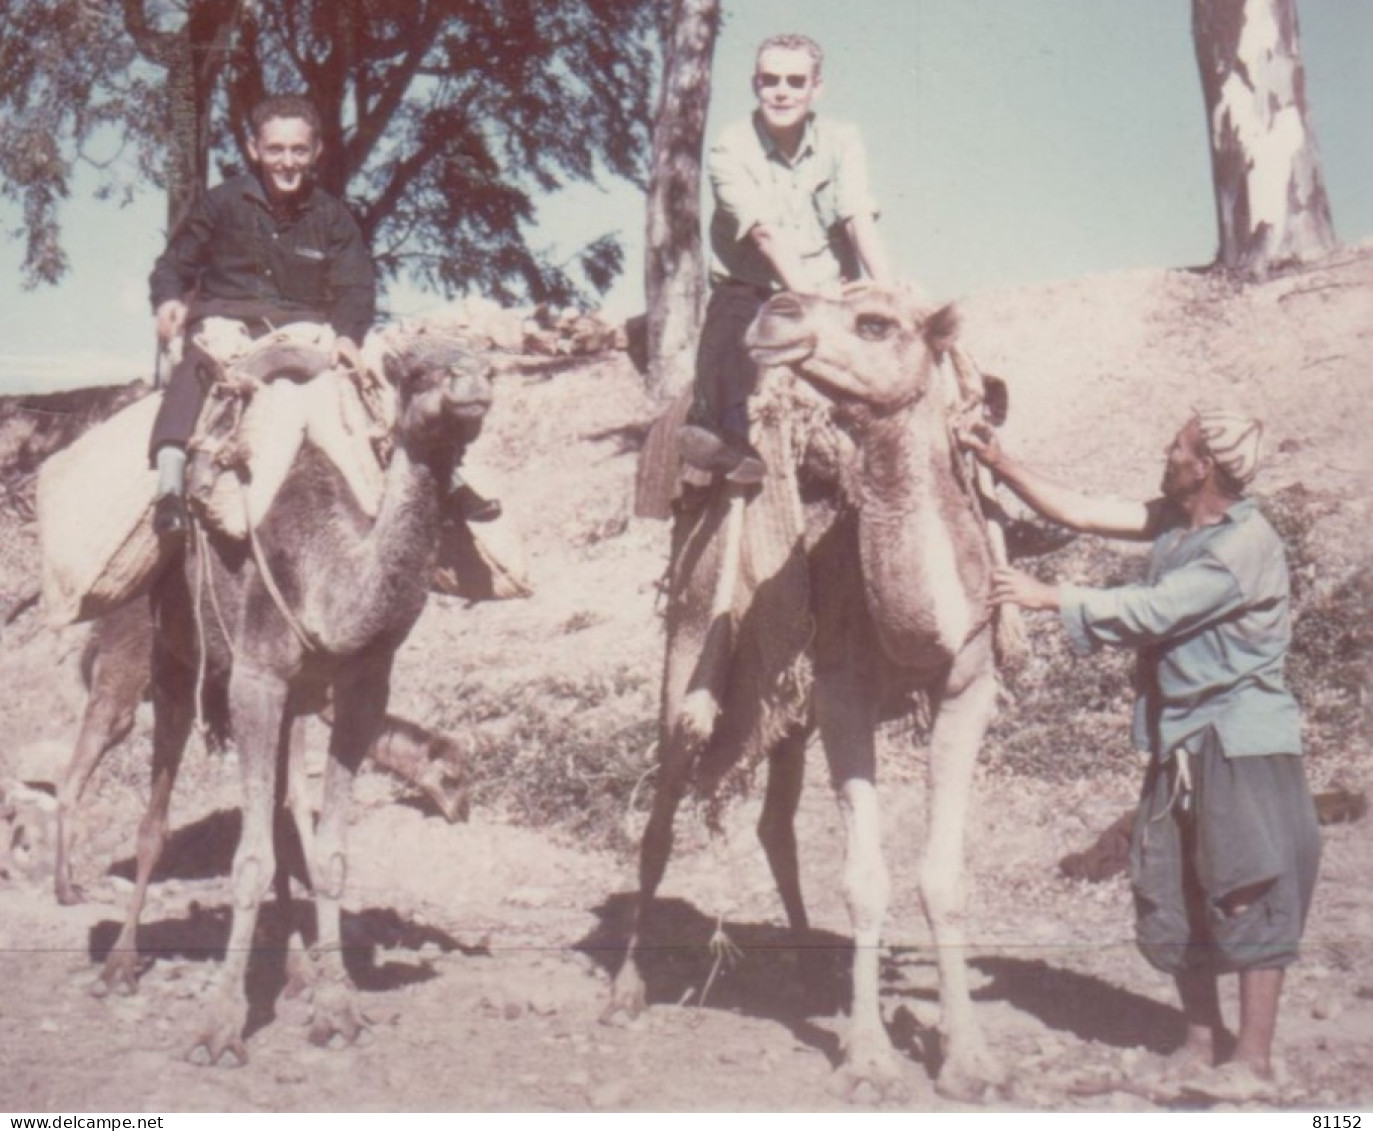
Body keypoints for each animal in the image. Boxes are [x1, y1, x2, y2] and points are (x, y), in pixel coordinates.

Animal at [52, 601, 472, 911]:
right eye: (451, 777)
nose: (461, 813)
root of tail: (99, 630)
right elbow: (298, 795)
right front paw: (313, 876)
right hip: (123, 682)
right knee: (74, 773)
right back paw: (68, 891)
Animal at [104, 330, 494, 1065]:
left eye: (493, 364)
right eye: (416, 370)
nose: (472, 386)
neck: (322, 563)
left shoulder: (359, 687)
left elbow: (328, 851)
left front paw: (336, 1008)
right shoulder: (255, 677)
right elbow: (249, 858)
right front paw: (218, 1027)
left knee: (287, 822)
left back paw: (293, 974)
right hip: (173, 663)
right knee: (156, 817)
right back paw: (120, 963)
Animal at [612, 285, 1010, 1103]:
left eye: (876, 324)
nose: (778, 312)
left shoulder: (967, 685)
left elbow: (943, 876)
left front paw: (969, 1060)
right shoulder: (844, 692)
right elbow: (863, 879)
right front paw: (869, 1061)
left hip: (788, 706)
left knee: (774, 825)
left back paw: (807, 969)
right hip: (690, 643)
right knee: (662, 813)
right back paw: (627, 989)